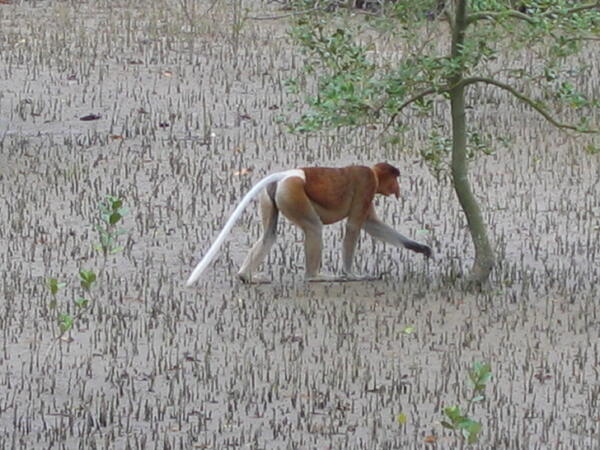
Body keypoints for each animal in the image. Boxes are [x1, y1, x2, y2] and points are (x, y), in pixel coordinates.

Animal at [185, 163, 428, 286]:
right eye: (394, 178)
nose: (397, 188)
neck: (373, 172)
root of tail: (287, 174)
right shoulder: (366, 184)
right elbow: (354, 227)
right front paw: (352, 274)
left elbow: (372, 224)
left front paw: (421, 248)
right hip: (293, 193)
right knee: (313, 228)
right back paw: (315, 276)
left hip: (271, 196)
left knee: (268, 235)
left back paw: (247, 277)